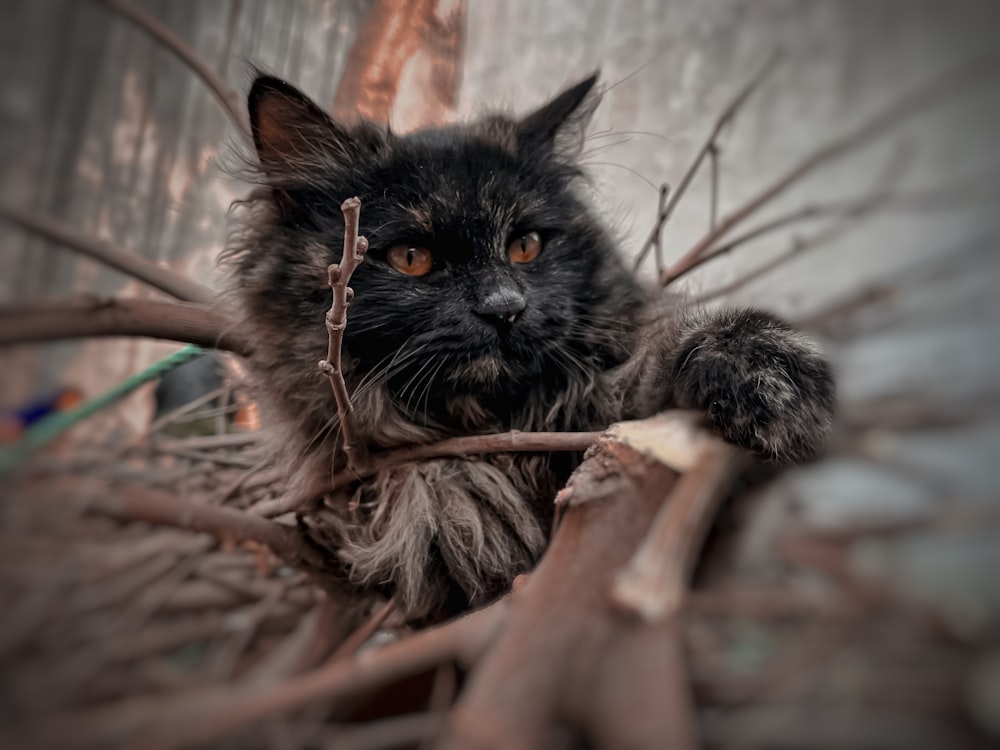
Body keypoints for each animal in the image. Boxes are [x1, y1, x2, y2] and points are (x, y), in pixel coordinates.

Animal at [227, 72, 836, 624]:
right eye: (411, 258)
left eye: (526, 246)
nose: (504, 308)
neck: (493, 422)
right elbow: (417, 484)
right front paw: (462, 501)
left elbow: (665, 358)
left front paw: (762, 373)